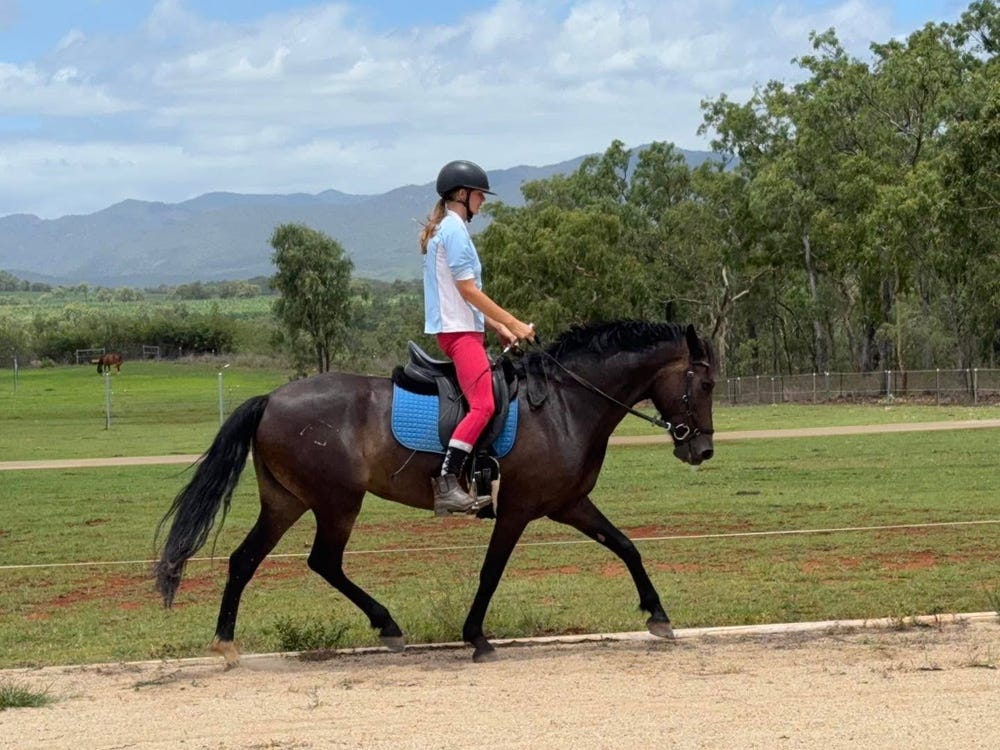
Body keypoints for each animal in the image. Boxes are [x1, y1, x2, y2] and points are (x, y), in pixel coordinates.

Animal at [154, 320, 716, 664]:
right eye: (706, 385)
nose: (702, 450)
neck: (563, 404)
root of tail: (272, 398)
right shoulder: (517, 510)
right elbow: (491, 573)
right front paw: (477, 638)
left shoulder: (569, 504)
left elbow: (625, 546)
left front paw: (659, 617)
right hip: (336, 501)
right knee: (323, 561)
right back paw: (386, 627)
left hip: (286, 501)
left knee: (246, 560)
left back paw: (227, 644)